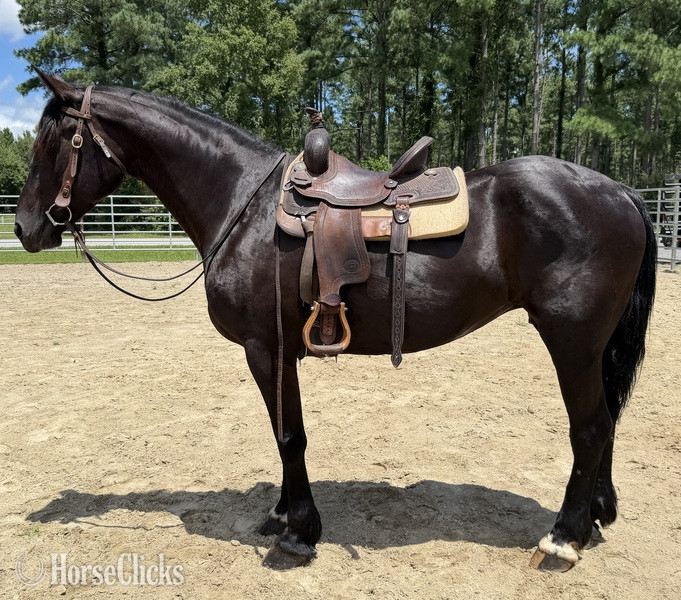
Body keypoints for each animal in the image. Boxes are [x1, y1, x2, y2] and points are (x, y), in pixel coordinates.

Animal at [14, 70, 656, 572]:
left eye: (52, 144)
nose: (24, 229)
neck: (242, 203)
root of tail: (620, 191)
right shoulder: (276, 352)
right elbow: (282, 431)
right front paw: (281, 514)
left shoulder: (264, 347)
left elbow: (288, 434)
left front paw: (300, 531)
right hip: (593, 346)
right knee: (607, 422)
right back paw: (596, 516)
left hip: (572, 340)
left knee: (591, 427)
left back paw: (564, 538)